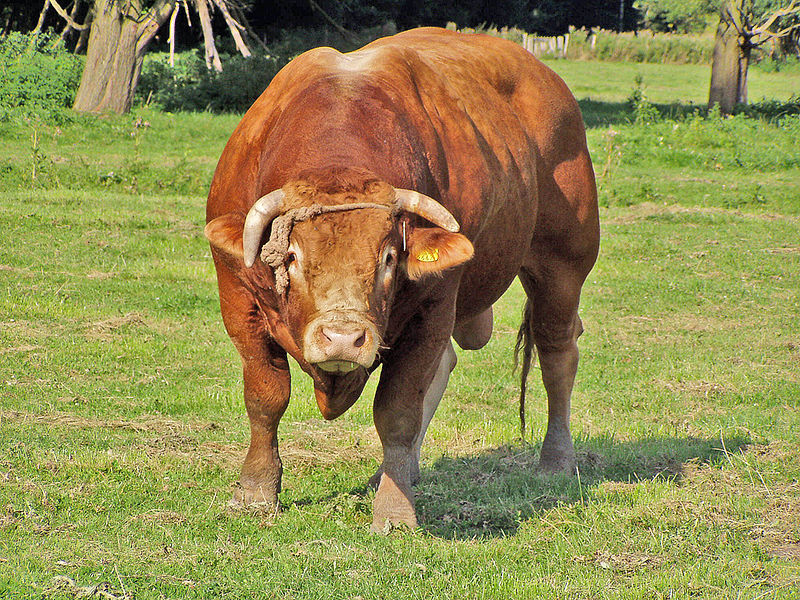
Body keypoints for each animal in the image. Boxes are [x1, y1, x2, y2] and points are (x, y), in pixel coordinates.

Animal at [206, 27, 600, 528]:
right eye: (290, 255)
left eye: (390, 258)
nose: (343, 337)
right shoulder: (238, 300)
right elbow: (266, 397)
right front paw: (256, 491)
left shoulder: (433, 309)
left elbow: (397, 410)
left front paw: (395, 512)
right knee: (451, 364)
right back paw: (401, 470)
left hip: (563, 264)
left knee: (557, 354)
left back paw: (557, 459)